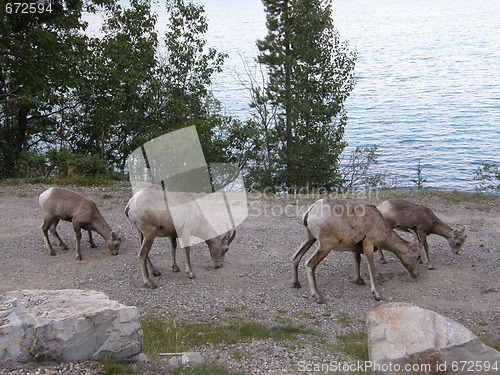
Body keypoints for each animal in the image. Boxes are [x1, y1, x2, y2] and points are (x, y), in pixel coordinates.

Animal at [292, 200, 420, 302]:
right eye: (418, 257)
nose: (416, 275)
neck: (380, 224)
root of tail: (311, 210)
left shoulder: (355, 248)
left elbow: (357, 261)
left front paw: (359, 280)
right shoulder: (368, 245)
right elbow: (371, 268)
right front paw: (377, 295)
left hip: (310, 238)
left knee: (295, 257)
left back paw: (296, 284)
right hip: (326, 245)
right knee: (309, 264)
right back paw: (318, 297)